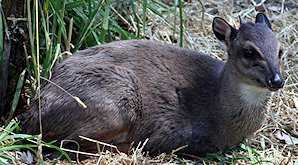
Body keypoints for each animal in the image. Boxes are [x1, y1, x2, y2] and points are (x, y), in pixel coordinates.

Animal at [21, 13, 284, 157]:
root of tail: (33, 111)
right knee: (69, 144)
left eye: (280, 50)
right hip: (117, 102)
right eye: (249, 52)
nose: (277, 80)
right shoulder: (175, 133)